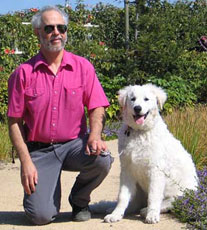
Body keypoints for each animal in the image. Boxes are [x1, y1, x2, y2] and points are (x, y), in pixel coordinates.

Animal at [104, 83, 198, 224]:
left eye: (146, 99)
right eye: (132, 99)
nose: (137, 108)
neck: (139, 132)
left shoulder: (156, 170)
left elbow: (154, 196)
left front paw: (152, 214)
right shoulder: (127, 170)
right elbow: (122, 196)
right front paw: (116, 214)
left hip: (183, 190)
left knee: (173, 202)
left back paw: (147, 210)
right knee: (135, 202)